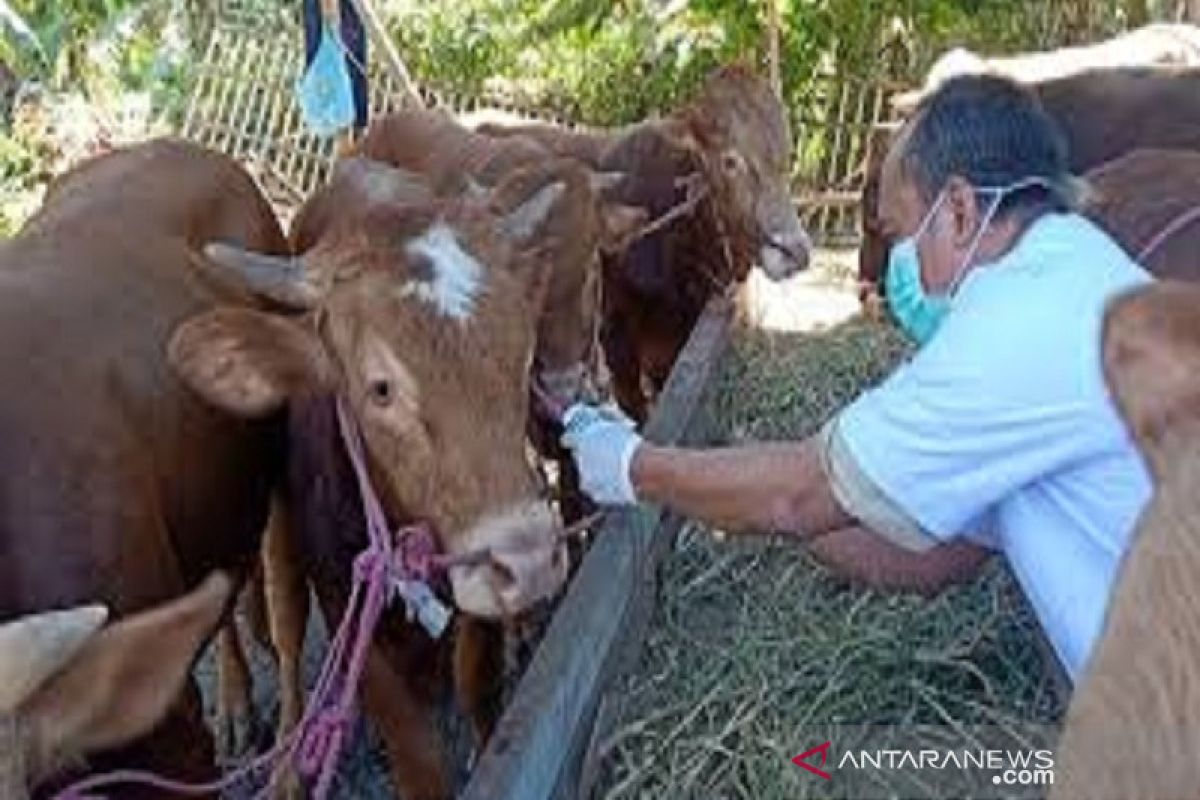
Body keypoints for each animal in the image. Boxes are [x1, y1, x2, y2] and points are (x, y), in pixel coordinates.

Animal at [172, 165, 576, 796]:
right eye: (380, 388)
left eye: (524, 356)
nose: (529, 559)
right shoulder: (345, 596)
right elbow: (413, 750)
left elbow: (478, 684)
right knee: (281, 628)